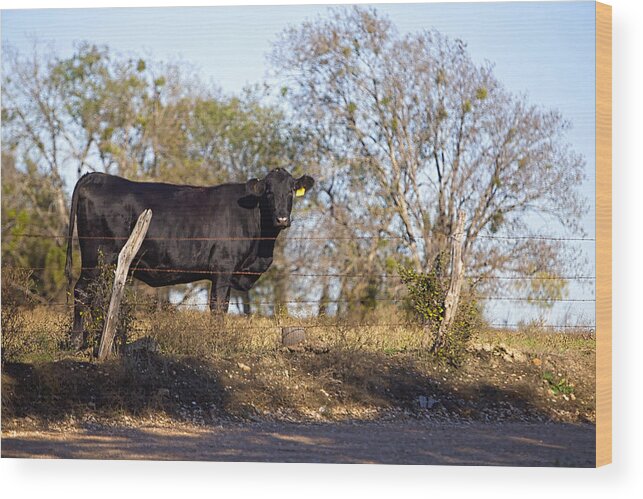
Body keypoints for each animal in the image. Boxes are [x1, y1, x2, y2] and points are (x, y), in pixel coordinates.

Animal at [65, 168, 314, 348]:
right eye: (269, 192)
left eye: (291, 191)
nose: (282, 219)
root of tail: (96, 176)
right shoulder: (223, 268)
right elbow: (217, 307)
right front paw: (217, 342)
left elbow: (223, 306)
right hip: (97, 257)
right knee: (83, 291)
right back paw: (78, 341)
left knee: (97, 295)